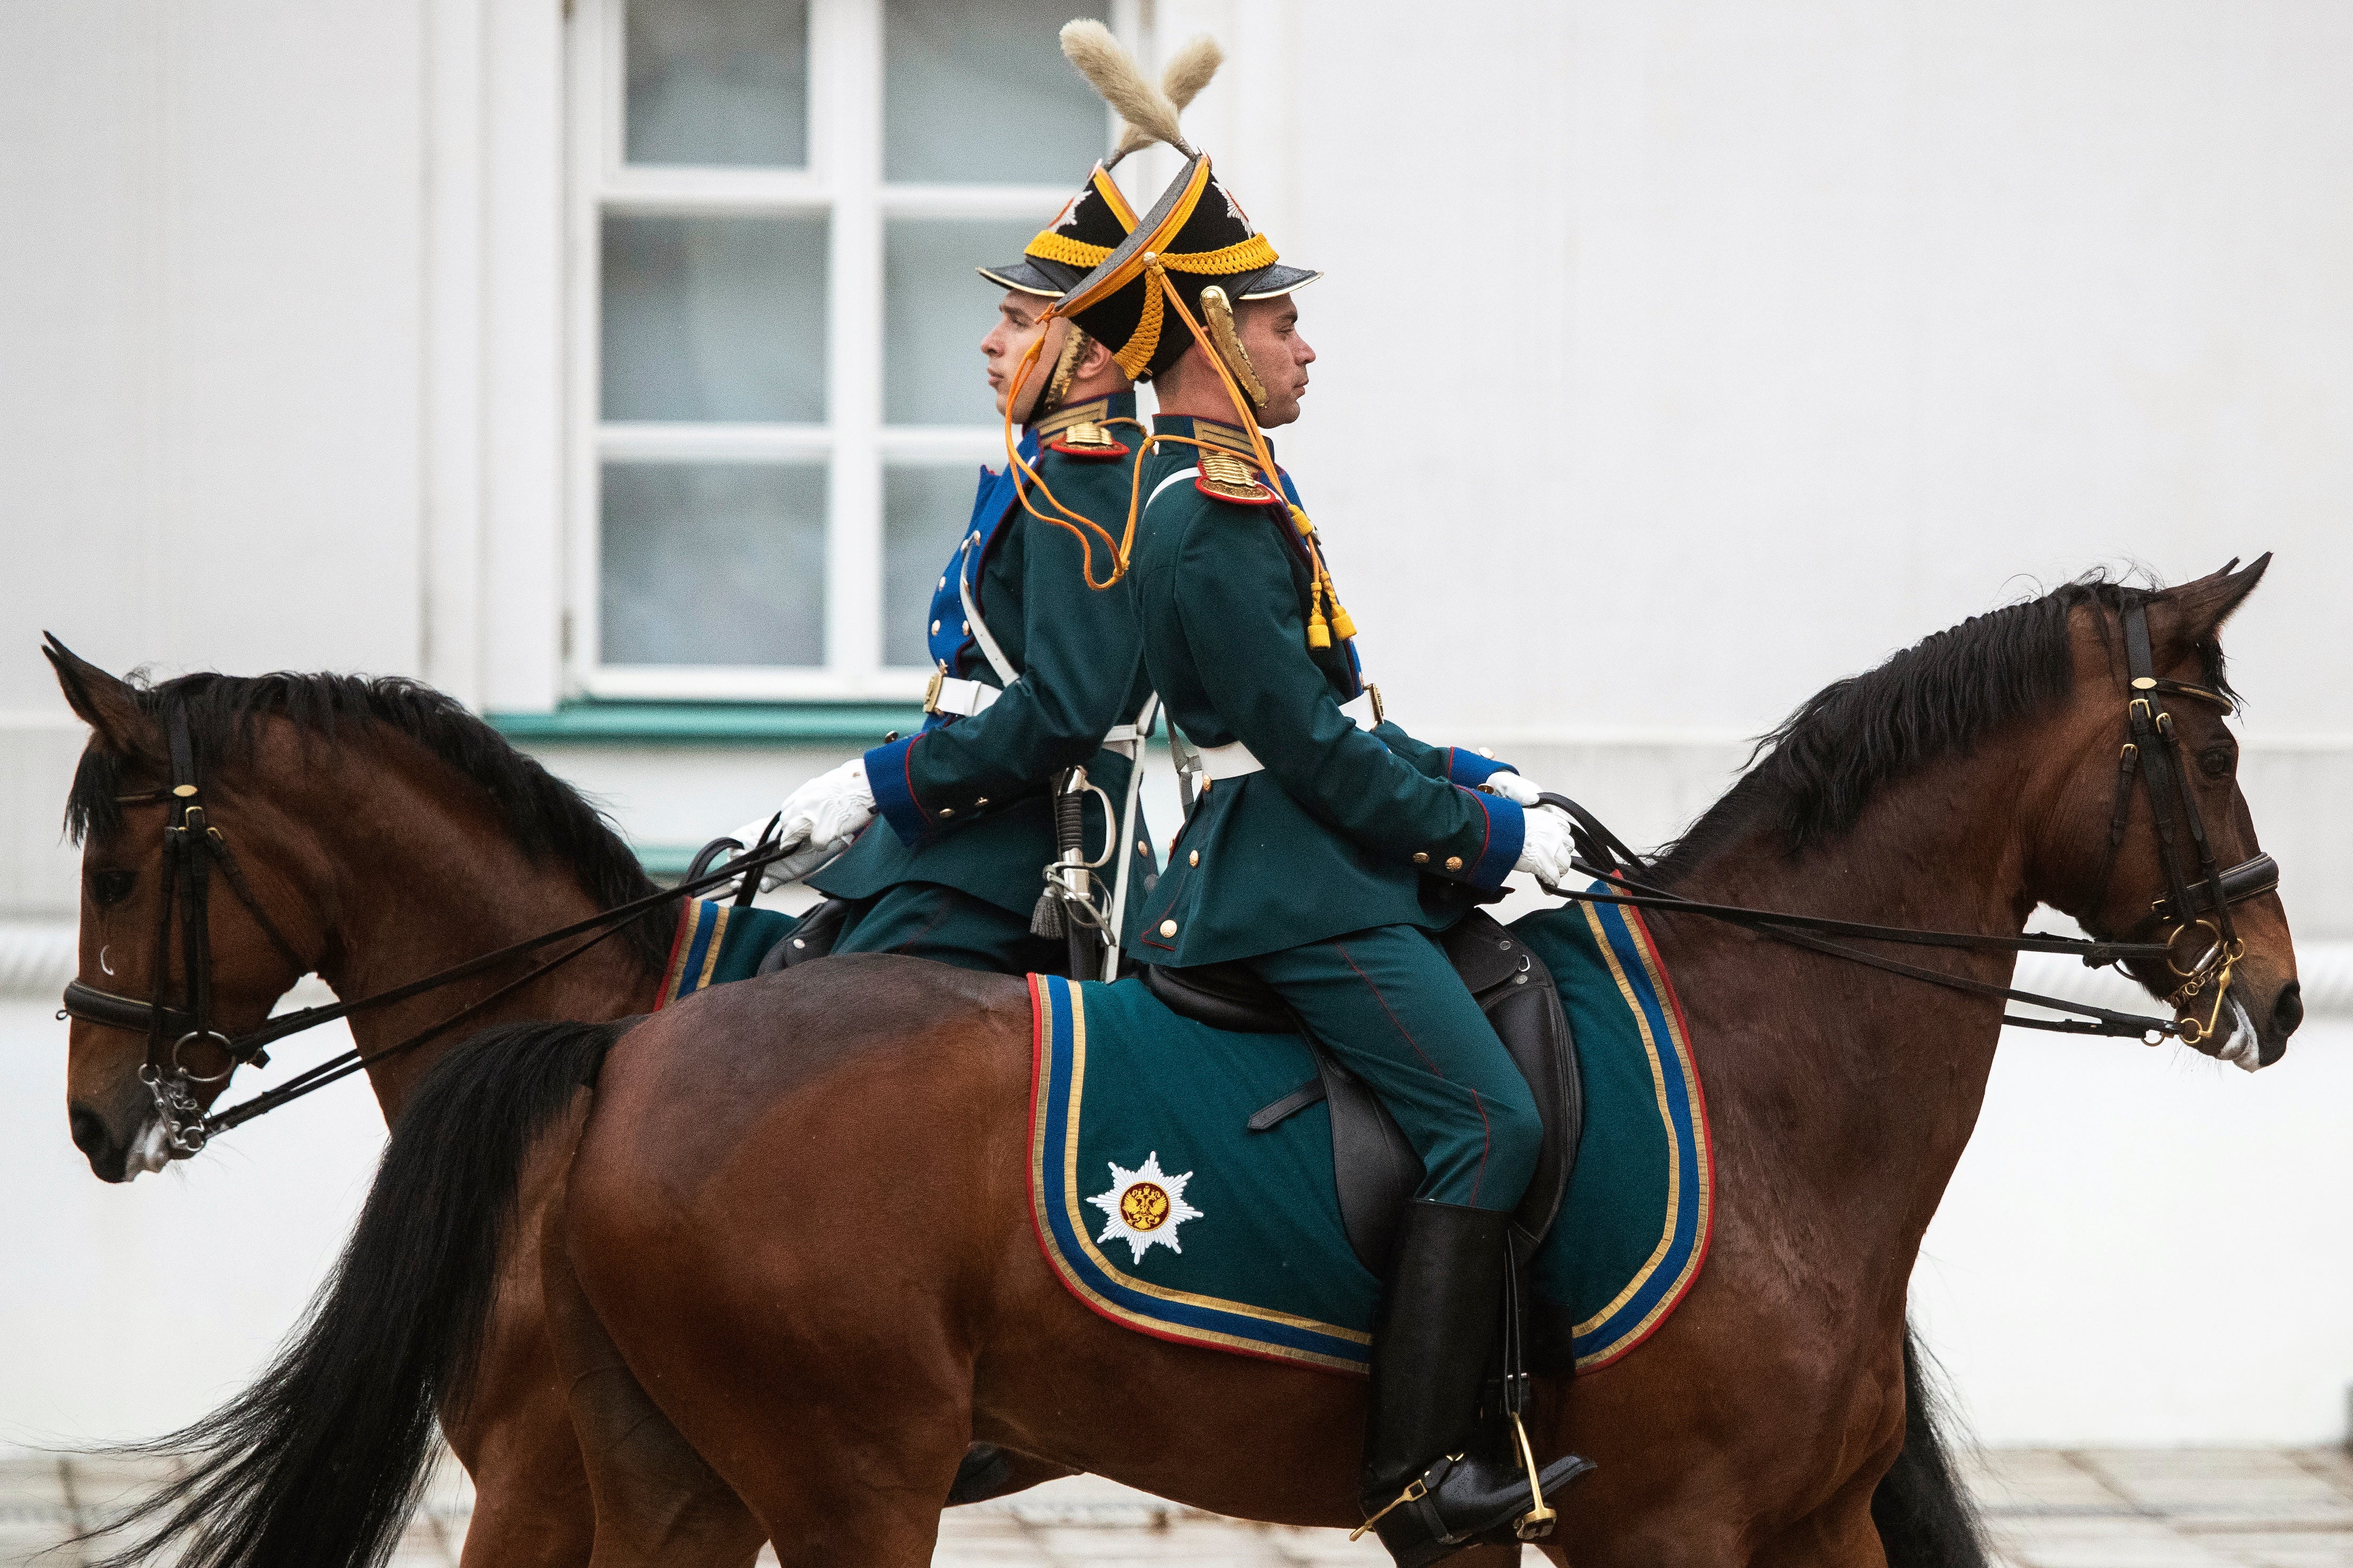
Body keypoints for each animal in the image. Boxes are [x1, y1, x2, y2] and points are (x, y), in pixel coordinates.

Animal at [78, 564, 2296, 1568]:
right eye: (2198, 747)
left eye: (124, 853)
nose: (2274, 988)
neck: (1775, 1073)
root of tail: (626, 1068)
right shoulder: (1661, 1527)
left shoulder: (1789, 1526)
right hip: (834, 1477)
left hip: (691, 1474)